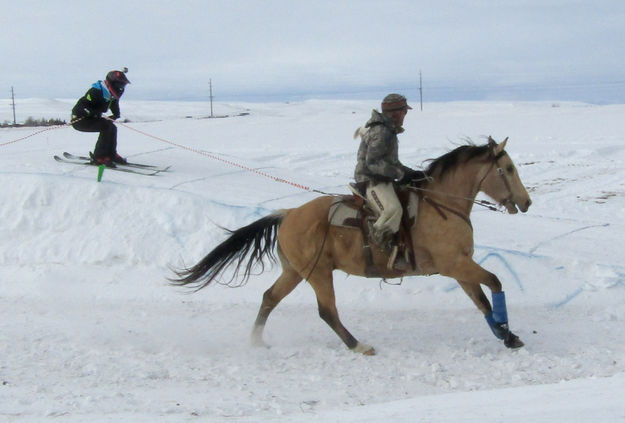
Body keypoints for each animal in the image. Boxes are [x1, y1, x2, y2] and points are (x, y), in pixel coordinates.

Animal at [172, 137, 532, 354]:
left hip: (295, 272)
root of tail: (288, 215)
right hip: (318, 273)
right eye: (508, 168)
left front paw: (506, 334)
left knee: (269, 298)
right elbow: (495, 283)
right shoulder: (456, 265)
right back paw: (358, 345)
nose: (526, 202)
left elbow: (482, 302)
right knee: (326, 311)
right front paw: (507, 332)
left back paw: (257, 341)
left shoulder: (459, 269)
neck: (442, 204)